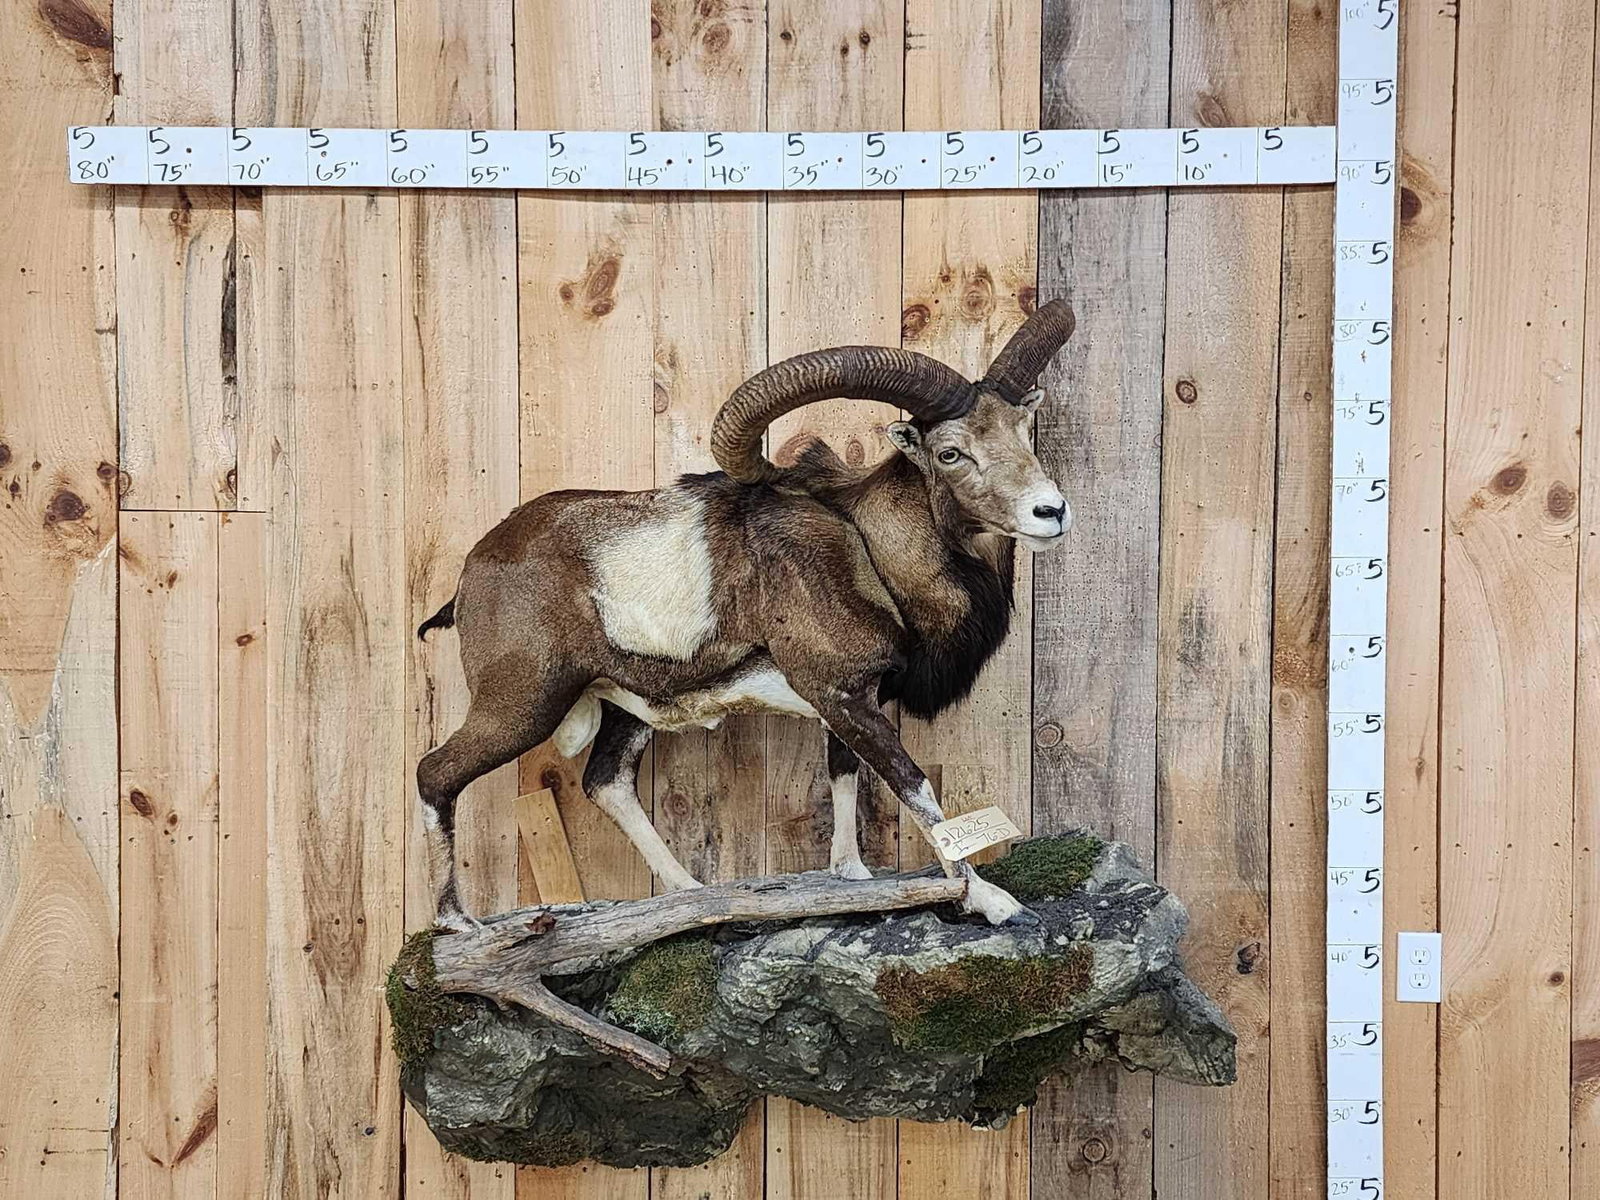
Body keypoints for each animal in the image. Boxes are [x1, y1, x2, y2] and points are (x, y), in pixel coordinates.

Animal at [417, 299, 1077, 930]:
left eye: (1023, 431)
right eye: (950, 452)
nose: (1051, 512)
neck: (865, 549)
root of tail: (474, 574)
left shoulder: (847, 705)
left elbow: (844, 778)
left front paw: (852, 877)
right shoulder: (841, 695)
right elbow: (914, 787)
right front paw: (994, 902)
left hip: (627, 710)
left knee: (606, 782)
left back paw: (689, 893)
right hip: (520, 706)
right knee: (435, 774)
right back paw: (458, 924)